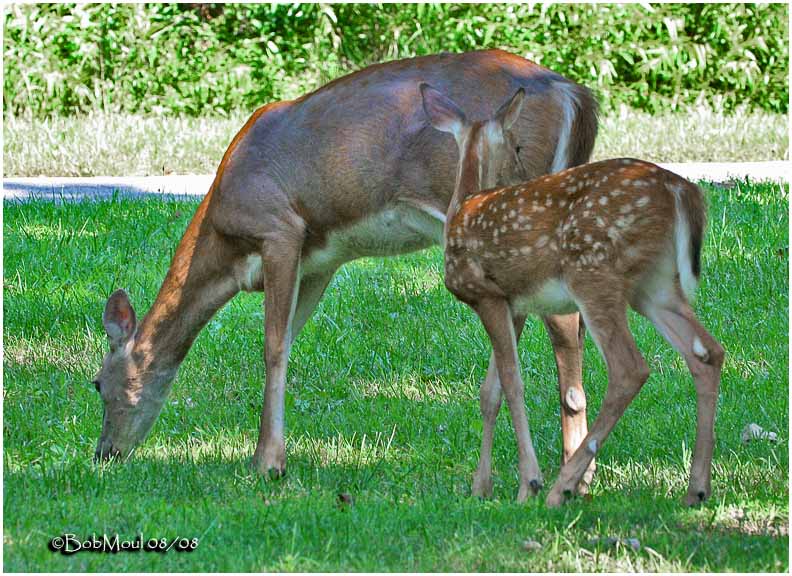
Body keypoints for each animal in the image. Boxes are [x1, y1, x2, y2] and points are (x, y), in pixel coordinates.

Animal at [94, 50, 600, 486]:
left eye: (96, 384)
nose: (104, 454)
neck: (224, 243)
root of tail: (572, 93)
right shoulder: (320, 261)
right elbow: (290, 338)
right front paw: (265, 453)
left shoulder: (279, 228)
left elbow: (273, 347)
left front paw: (268, 462)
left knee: (564, 323)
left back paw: (571, 476)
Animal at [420, 83, 724, 506]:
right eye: (516, 146)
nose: (524, 173)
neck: (464, 204)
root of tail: (685, 190)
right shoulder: (514, 304)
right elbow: (489, 390)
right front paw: (481, 487)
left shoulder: (486, 294)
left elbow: (512, 384)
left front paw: (527, 483)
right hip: (656, 285)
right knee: (706, 352)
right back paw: (696, 489)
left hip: (594, 273)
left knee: (630, 368)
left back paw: (560, 488)